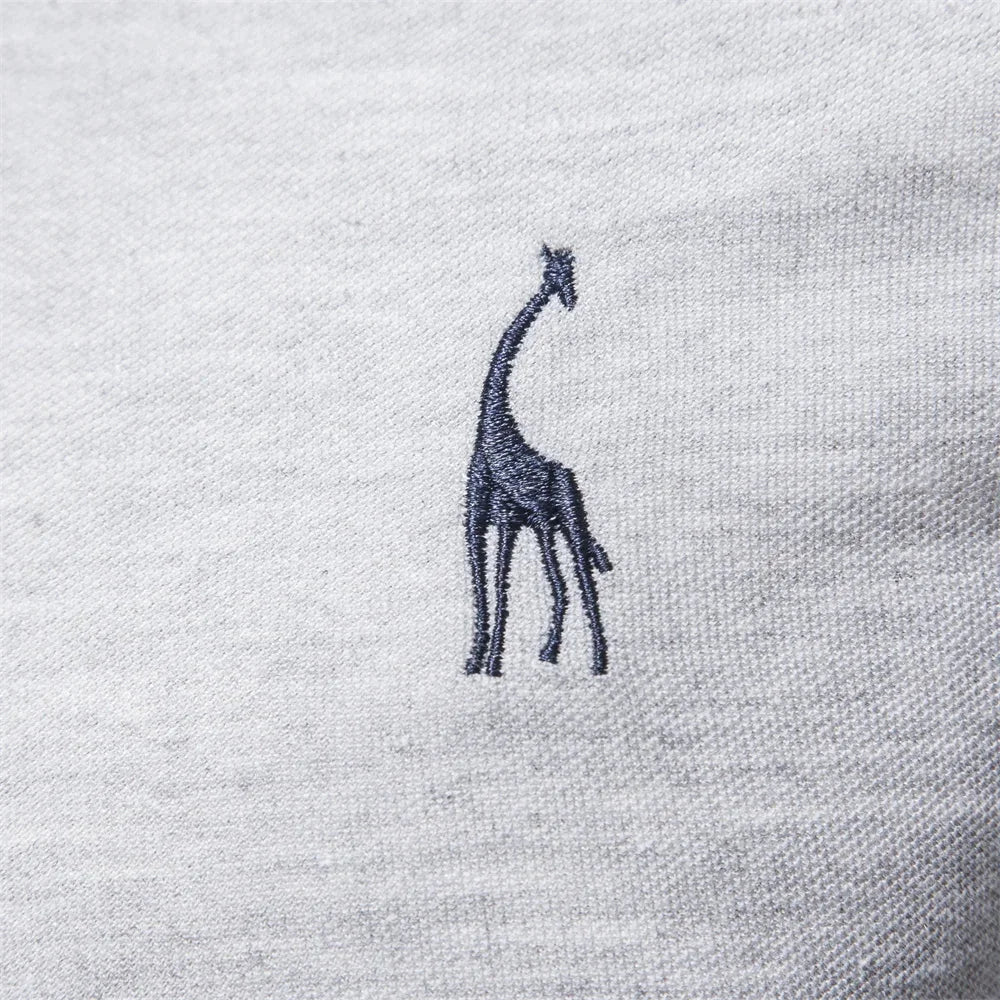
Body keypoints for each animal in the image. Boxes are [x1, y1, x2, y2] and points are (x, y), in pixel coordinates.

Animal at [464, 245, 612, 678]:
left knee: (576, 578)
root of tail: (569, 474)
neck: (494, 430)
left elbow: (504, 583)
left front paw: (490, 660)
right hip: (553, 522)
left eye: (569, 271)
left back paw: (592, 658)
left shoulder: (513, 516)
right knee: (566, 581)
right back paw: (552, 650)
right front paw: (479, 659)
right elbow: (487, 584)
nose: (570, 299)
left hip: (566, 515)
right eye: (556, 271)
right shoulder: (491, 518)